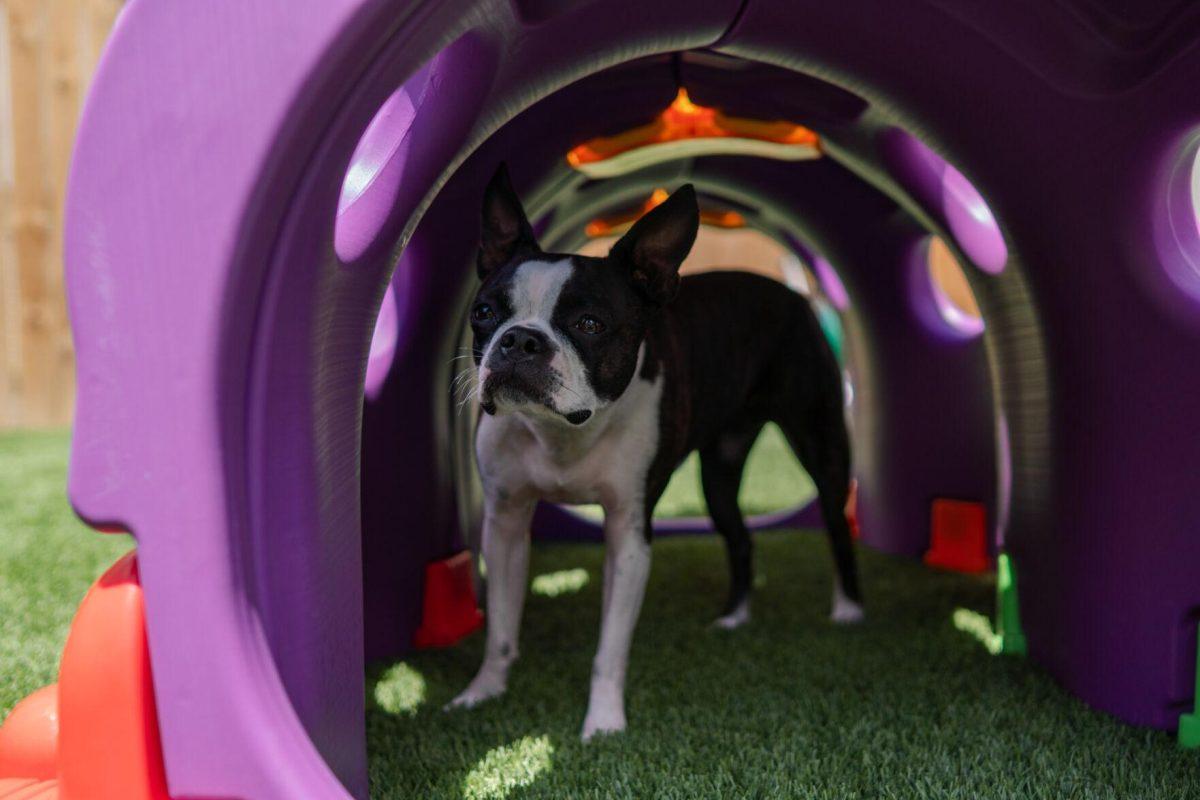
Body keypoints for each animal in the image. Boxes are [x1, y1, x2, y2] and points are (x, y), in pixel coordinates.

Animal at [451, 165, 864, 743]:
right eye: (485, 314)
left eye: (590, 324)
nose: (519, 341)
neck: (563, 432)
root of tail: (791, 294)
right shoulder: (506, 524)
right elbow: (502, 628)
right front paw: (483, 691)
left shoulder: (629, 532)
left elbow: (610, 646)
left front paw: (603, 723)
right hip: (719, 475)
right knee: (740, 538)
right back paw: (733, 619)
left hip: (820, 443)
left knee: (836, 522)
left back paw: (848, 610)